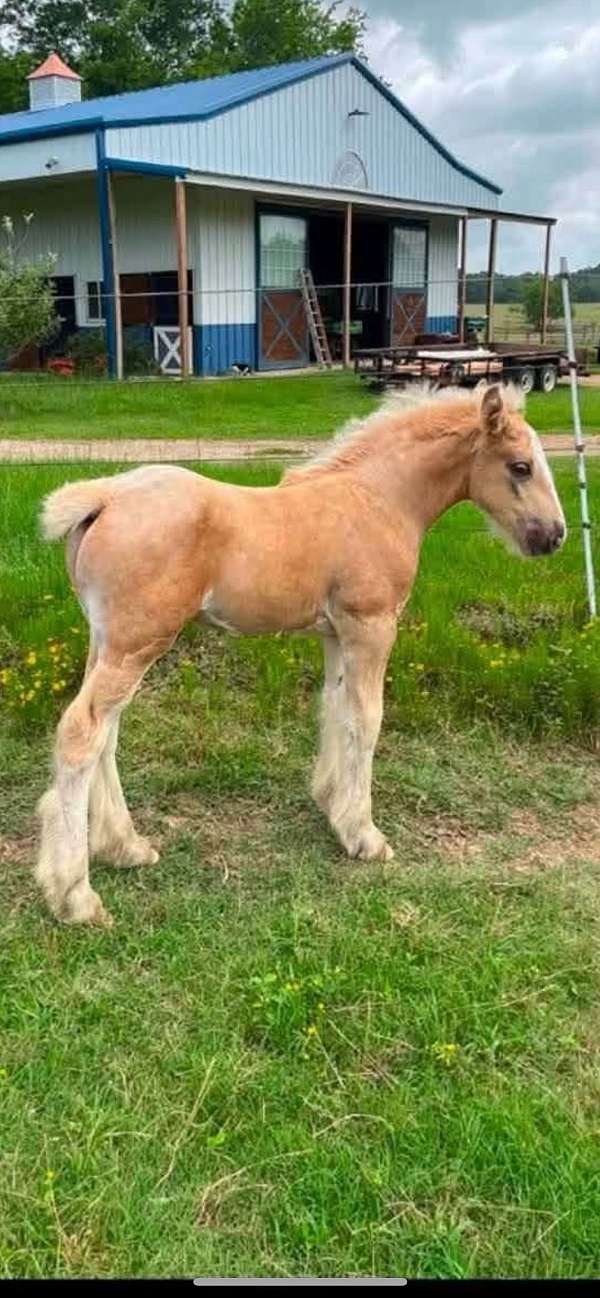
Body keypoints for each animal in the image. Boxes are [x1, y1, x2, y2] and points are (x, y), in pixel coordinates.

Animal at [35, 382, 566, 926]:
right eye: (521, 466)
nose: (554, 535)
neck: (377, 498)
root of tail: (105, 497)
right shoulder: (371, 626)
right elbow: (367, 719)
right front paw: (365, 835)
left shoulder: (335, 635)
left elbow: (334, 708)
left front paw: (332, 806)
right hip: (136, 645)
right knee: (82, 733)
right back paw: (76, 895)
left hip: (107, 644)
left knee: (106, 734)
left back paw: (125, 847)